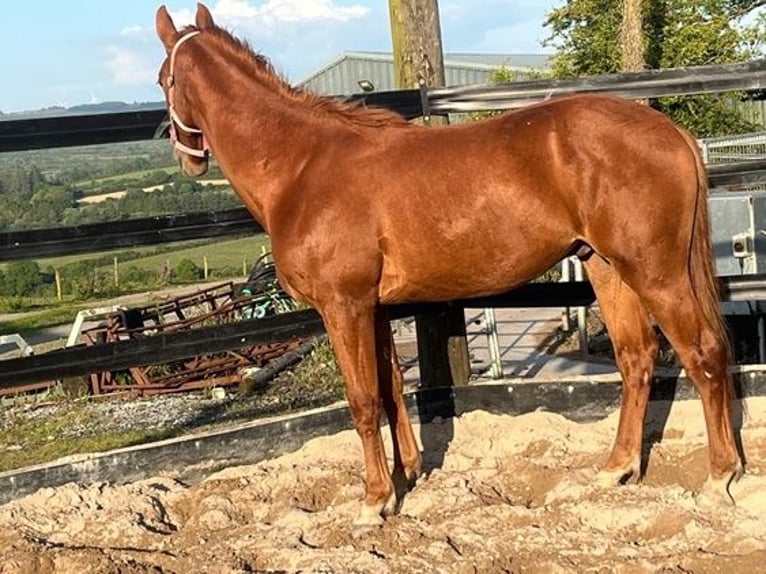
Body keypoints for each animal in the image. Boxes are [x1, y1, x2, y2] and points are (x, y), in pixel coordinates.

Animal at [156, 3, 744, 528]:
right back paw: (616, 468)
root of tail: (670, 132)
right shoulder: (371, 307)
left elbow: (363, 400)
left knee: (702, 352)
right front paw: (406, 477)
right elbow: (393, 390)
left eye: (164, 79)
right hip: (605, 267)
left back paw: (720, 477)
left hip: (655, 271)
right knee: (636, 358)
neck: (303, 166)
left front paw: (373, 503)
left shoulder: (342, 306)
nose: (185, 156)